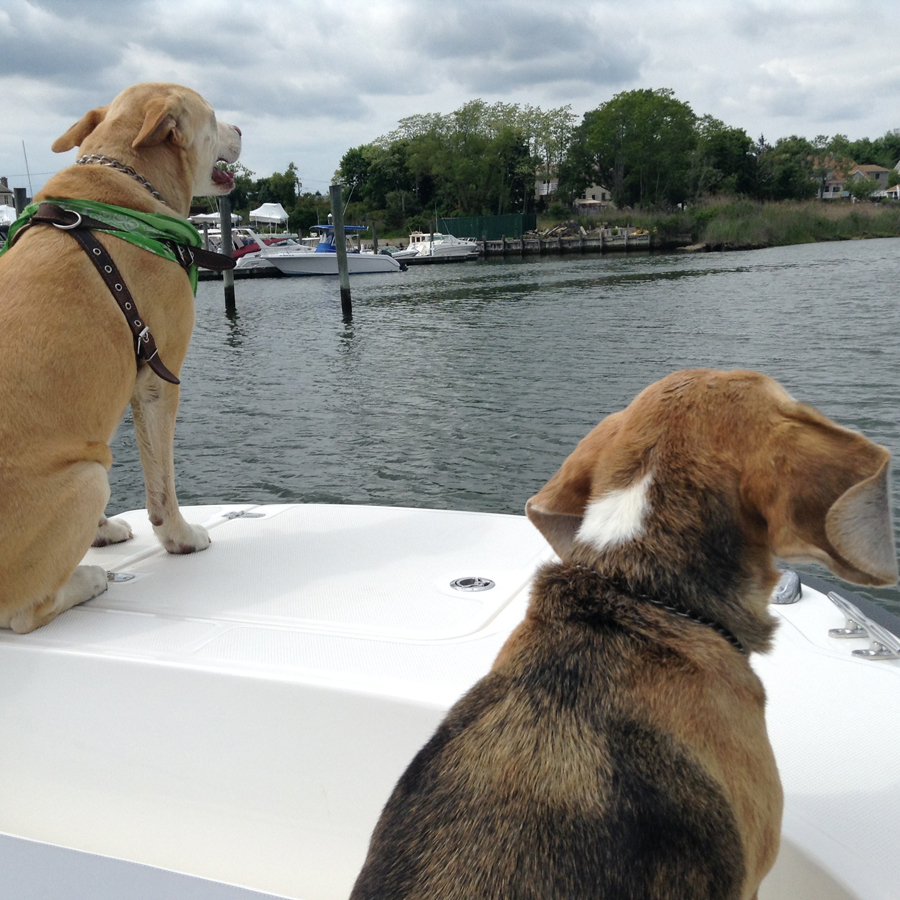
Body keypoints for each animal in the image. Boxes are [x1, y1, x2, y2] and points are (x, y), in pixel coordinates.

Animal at [0, 86, 241, 632]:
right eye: (214, 116)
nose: (241, 128)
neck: (121, 185)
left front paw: (102, 531)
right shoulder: (158, 378)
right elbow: (162, 483)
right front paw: (181, 538)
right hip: (91, 478)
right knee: (24, 613)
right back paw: (87, 580)